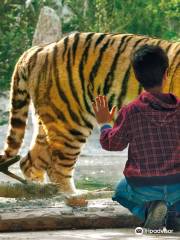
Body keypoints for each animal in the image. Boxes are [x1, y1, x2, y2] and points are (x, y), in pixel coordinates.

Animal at [0, 32, 179, 193]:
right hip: (69, 122)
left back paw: (40, 190)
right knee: (57, 167)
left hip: (48, 121)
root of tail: (39, 49)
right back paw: (72, 196)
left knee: (30, 161)